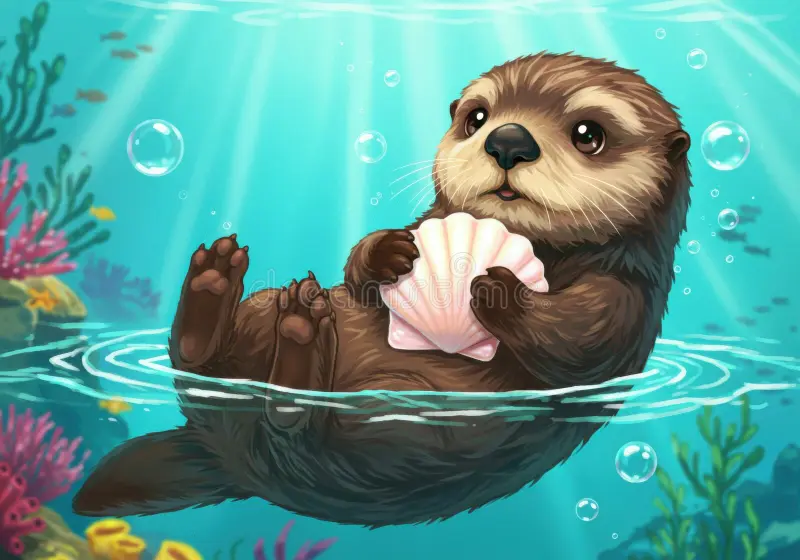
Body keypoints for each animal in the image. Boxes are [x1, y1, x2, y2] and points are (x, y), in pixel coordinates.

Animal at [72, 52, 691, 527]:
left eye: (589, 134)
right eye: (477, 117)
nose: (508, 140)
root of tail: (229, 455)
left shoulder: (625, 291)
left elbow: (581, 339)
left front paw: (497, 288)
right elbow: (364, 267)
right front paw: (389, 251)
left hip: (401, 432)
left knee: (293, 427)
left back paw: (298, 343)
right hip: (263, 330)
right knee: (204, 363)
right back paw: (222, 283)